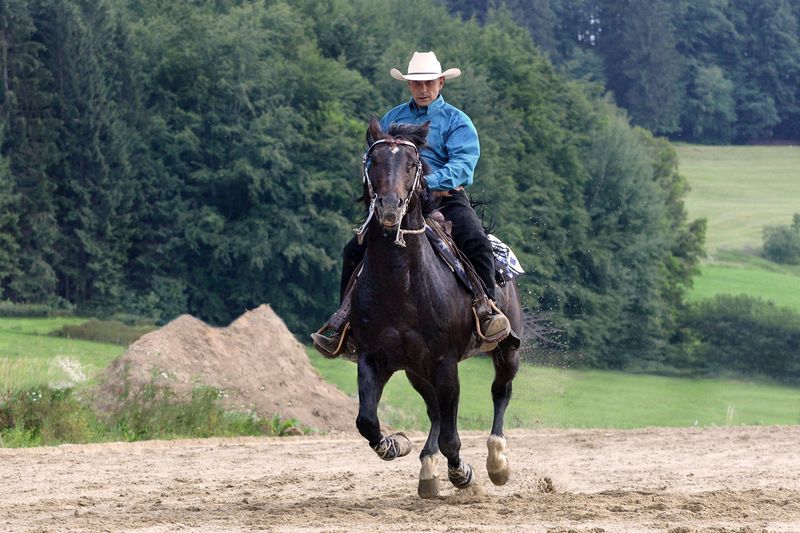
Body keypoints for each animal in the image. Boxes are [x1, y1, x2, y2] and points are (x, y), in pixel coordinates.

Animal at [354, 117, 520, 498]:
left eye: (412, 164)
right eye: (374, 161)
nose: (389, 207)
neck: (401, 284)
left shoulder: (446, 363)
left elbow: (451, 438)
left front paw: (463, 473)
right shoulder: (373, 358)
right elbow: (367, 421)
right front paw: (395, 444)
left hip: (506, 350)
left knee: (500, 391)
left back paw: (497, 463)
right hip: (417, 370)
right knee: (433, 411)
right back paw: (428, 470)